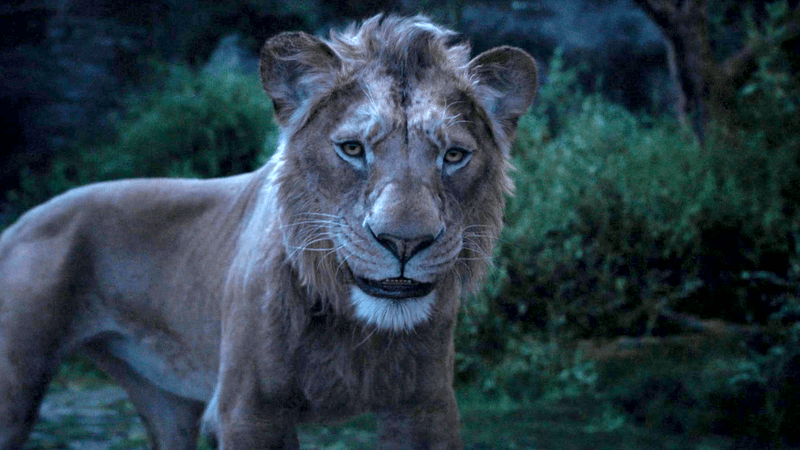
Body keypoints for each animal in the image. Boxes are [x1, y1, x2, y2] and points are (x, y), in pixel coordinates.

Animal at [0, 15, 537, 449]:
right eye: (352, 148)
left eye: (454, 155)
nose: (405, 241)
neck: (351, 325)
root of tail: (20, 223)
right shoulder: (247, 412)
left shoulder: (426, 410)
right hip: (15, 389)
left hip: (167, 404)